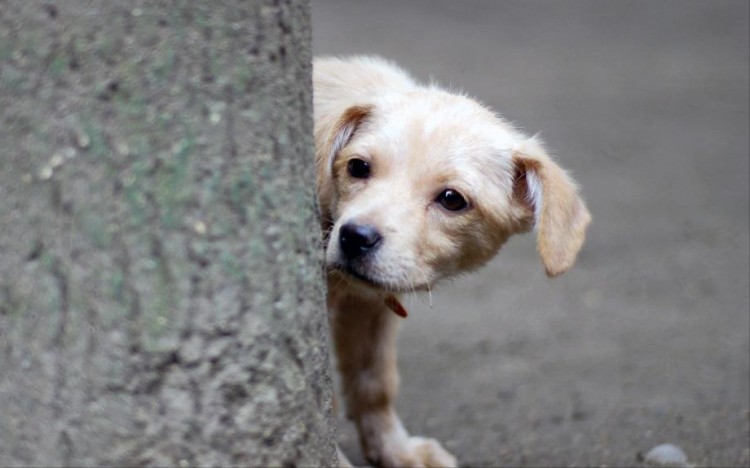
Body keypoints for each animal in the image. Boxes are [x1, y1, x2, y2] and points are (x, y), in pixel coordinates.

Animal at [312, 56, 592, 466]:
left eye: (451, 199)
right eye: (358, 167)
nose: (354, 238)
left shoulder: (366, 306)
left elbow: (374, 381)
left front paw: (396, 450)